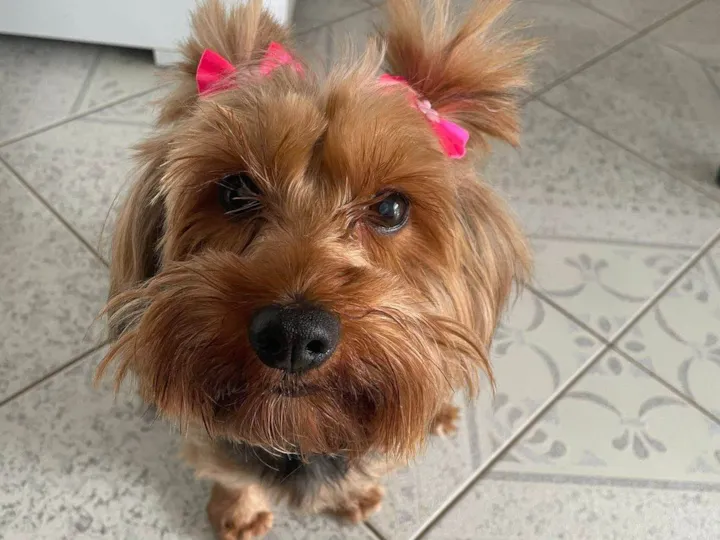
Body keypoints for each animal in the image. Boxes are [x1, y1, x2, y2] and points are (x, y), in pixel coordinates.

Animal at [97, 0, 534, 537]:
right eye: (235, 191)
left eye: (390, 208)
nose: (292, 334)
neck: (297, 435)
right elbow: (230, 474)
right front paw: (238, 511)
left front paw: (353, 494)